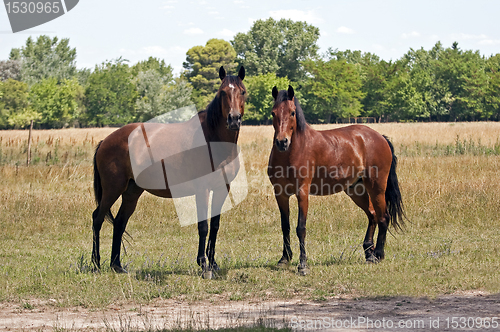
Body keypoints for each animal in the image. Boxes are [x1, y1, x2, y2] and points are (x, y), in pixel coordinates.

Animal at [93, 66, 247, 278]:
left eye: (243, 92)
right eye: (222, 92)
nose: (233, 120)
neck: (214, 139)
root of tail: (105, 141)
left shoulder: (222, 188)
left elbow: (215, 226)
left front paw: (213, 264)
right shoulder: (202, 189)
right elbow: (203, 226)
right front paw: (203, 264)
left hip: (131, 192)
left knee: (119, 223)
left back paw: (117, 265)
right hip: (112, 189)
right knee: (97, 219)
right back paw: (96, 264)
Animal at [268, 85, 404, 274]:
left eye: (292, 112)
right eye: (273, 113)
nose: (282, 142)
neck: (292, 152)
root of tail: (380, 137)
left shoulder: (302, 192)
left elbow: (300, 227)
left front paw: (303, 264)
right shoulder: (280, 194)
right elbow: (285, 226)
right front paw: (284, 259)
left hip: (376, 188)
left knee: (384, 217)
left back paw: (378, 254)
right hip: (356, 191)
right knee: (373, 215)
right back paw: (369, 253)